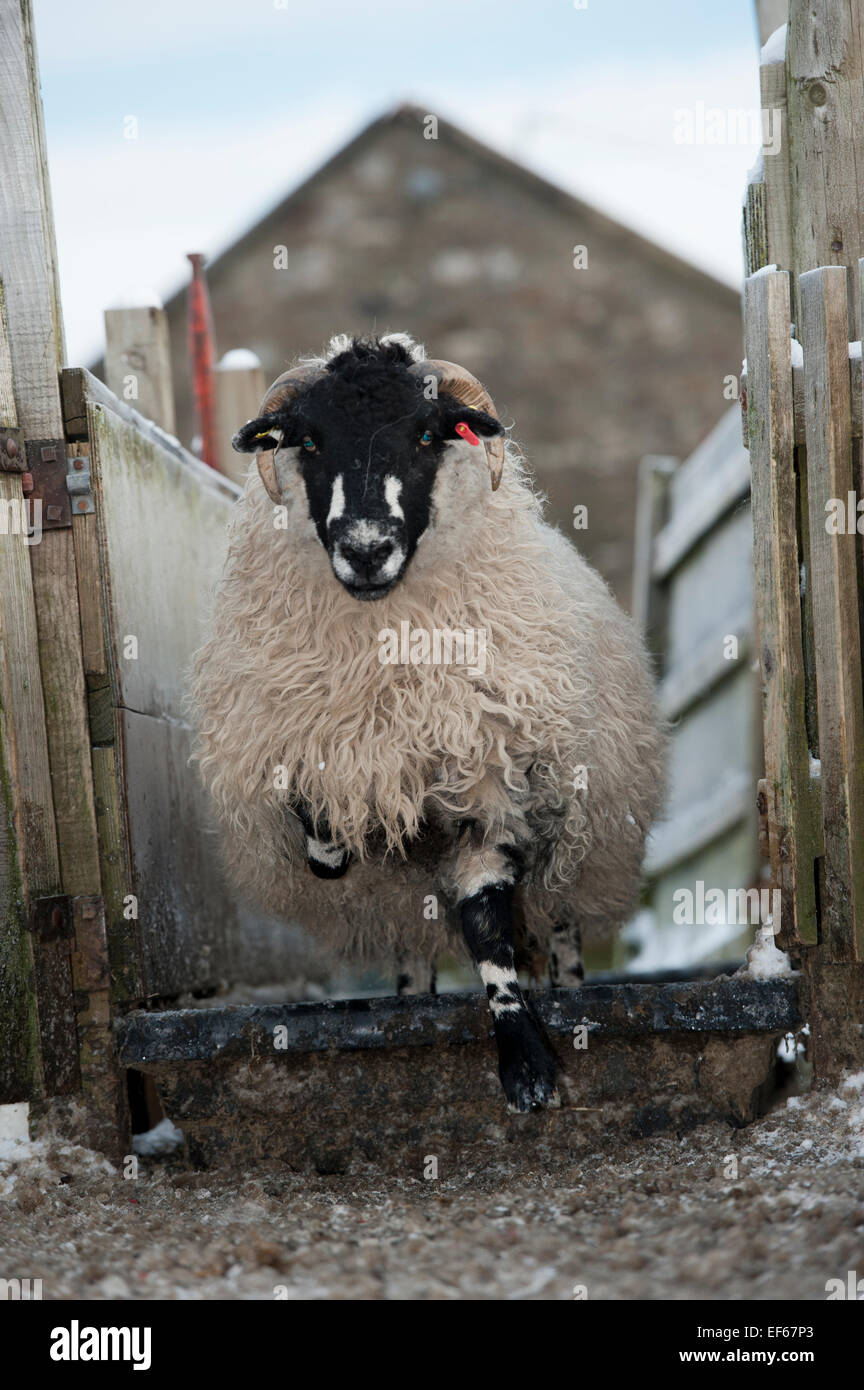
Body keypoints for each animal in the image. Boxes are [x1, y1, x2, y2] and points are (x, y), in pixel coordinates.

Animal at [193, 330, 666, 1112]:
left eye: (424, 433)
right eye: (308, 440)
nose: (365, 549)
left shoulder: (488, 777)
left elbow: (486, 924)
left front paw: (526, 1064)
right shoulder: (297, 738)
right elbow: (321, 821)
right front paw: (335, 837)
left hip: (581, 841)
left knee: (558, 925)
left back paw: (565, 988)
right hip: (398, 895)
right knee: (409, 946)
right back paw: (409, 999)